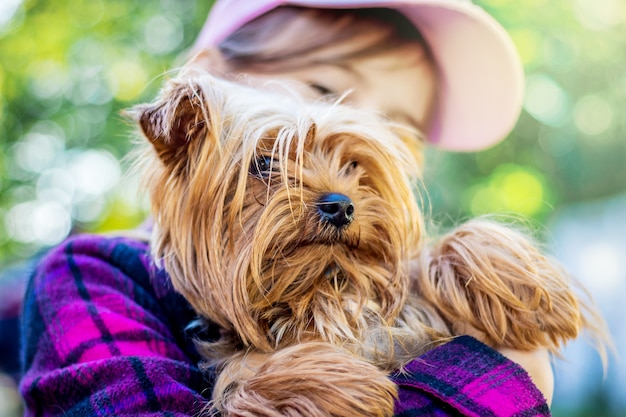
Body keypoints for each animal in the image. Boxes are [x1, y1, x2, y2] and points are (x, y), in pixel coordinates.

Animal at [130, 68, 604, 416]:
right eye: (263, 164)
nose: (340, 205)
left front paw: (533, 295)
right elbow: (240, 378)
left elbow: (446, 248)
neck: (323, 290)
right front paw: (343, 386)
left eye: (353, 165)